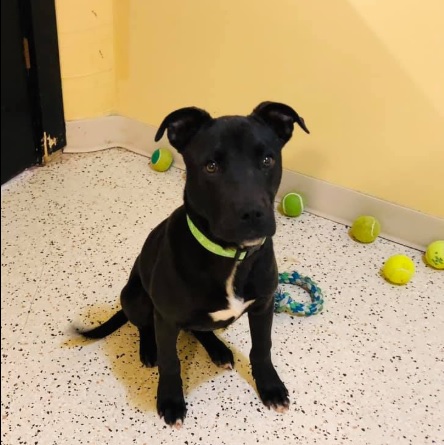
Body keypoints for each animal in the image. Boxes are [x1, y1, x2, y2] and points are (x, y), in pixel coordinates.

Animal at [79, 101, 309, 427]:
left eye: (267, 160)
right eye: (211, 166)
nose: (253, 214)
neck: (230, 258)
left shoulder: (264, 305)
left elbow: (262, 348)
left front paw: (270, 386)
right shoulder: (166, 318)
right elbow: (170, 361)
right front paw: (171, 400)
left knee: (200, 329)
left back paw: (218, 350)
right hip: (135, 297)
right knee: (145, 326)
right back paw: (149, 349)